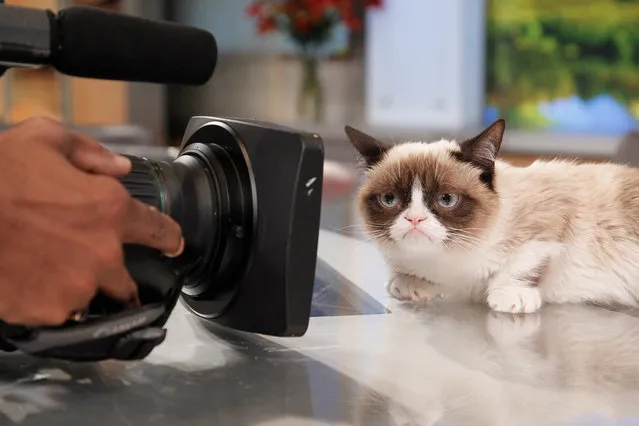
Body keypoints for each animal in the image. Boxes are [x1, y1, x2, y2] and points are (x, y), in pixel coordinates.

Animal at [348, 119, 639, 312]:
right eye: (389, 200)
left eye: (447, 199)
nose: (415, 220)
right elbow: (401, 280)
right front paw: (412, 286)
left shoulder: (556, 218)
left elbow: (523, 263)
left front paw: (510, 295)